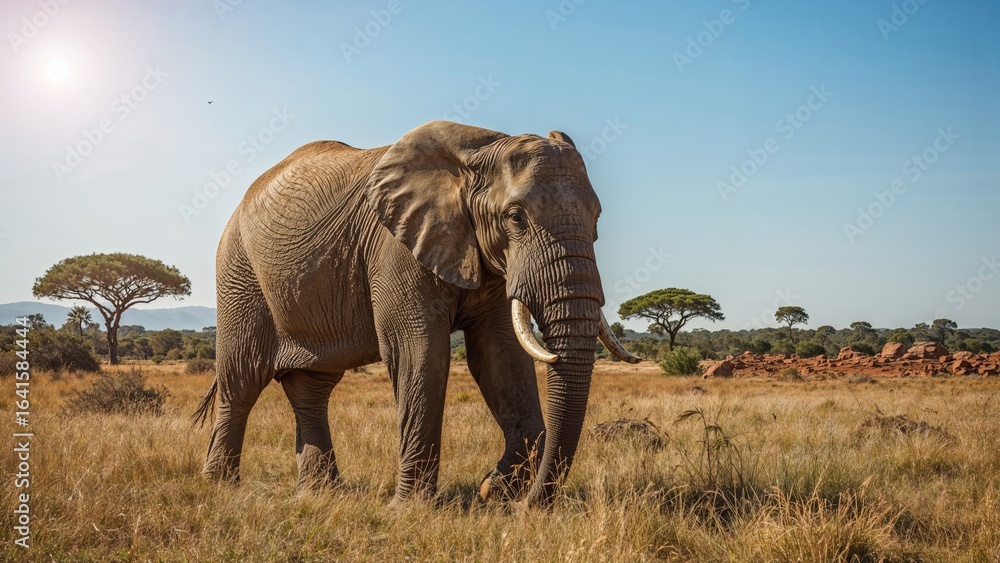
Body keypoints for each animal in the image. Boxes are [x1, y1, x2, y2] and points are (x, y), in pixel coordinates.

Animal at [193, 120, 639, 507]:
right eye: (515, 218)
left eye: (597, 217)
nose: (528, 506)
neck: (480, 149)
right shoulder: (395, 246)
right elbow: (418, 351)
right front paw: (411, 509)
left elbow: (500, 356)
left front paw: (492, 491)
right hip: (238, 272)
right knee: (241, 379)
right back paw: (220, 487)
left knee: (313, 385)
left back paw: (320, 494)